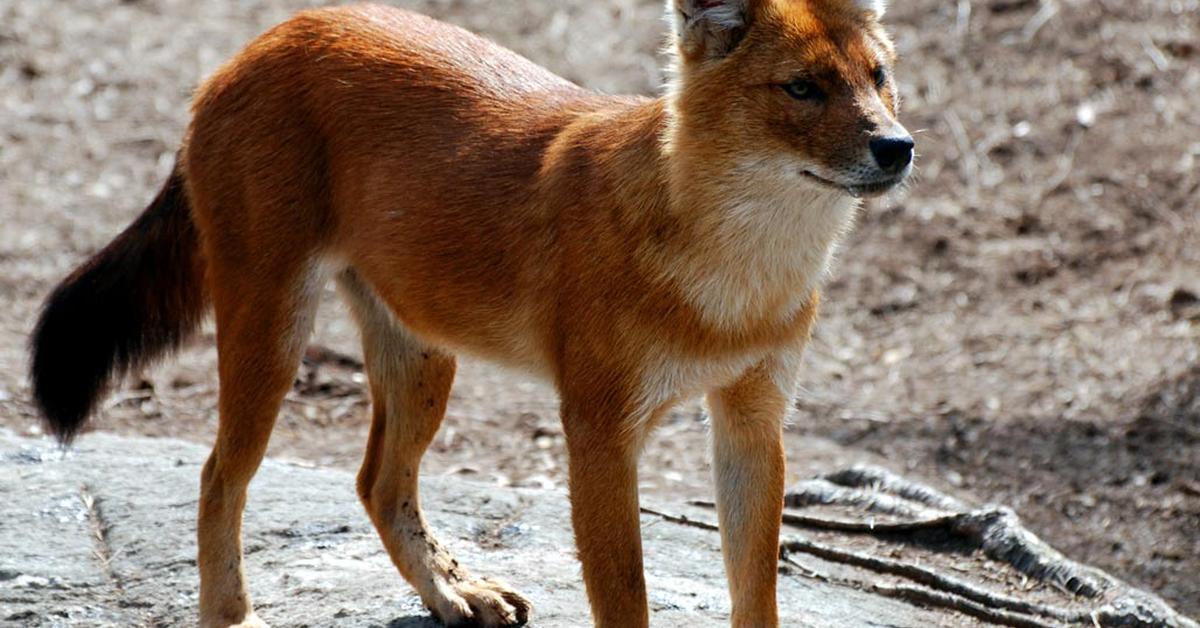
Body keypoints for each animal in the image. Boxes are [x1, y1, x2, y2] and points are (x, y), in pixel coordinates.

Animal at [28, 1, 907, 628]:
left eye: (878, 77)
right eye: (802, 87)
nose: (897, 147)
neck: (736, 280)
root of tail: (265, 39)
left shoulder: (754, 422)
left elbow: (757, 595)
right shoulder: (599, 430)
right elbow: (625, 597)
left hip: (424, 357)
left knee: (377, 483)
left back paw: (456, 595)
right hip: (271, 328)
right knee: (219, 476)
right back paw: (233, 616)